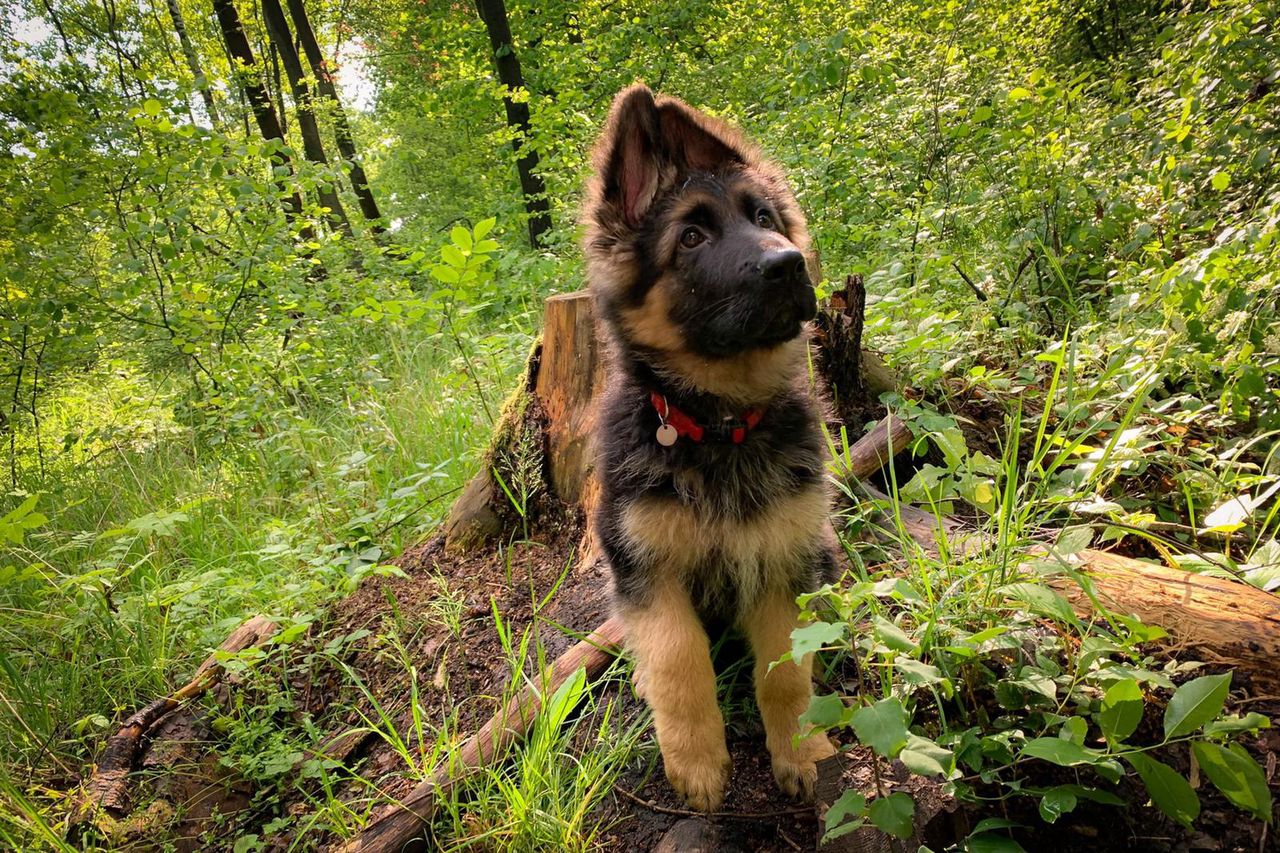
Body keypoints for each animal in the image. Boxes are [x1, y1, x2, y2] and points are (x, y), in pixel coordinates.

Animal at [583, 84, 839, 809]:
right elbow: (677, 660)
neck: (720, 424)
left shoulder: (783, 559)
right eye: (691, 237)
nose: (789, 264)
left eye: (763, 216)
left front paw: (799, 748)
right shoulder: (646, 568)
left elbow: (786, 668)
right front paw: (697, 762)